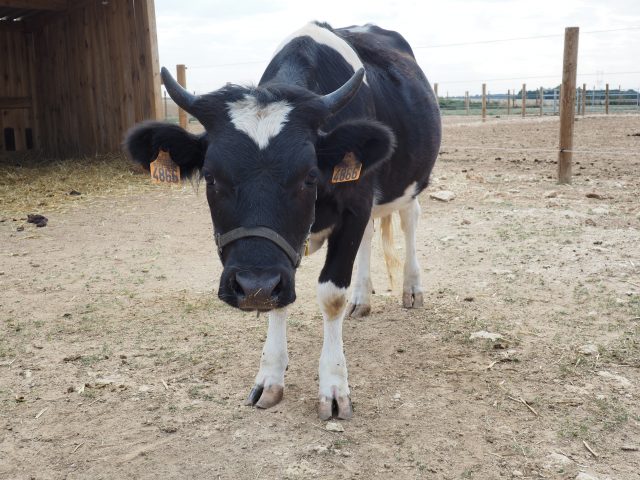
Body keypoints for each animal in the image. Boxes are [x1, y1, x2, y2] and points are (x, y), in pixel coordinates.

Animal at [125, 21, 441, 420]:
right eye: (211, 177)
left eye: (309, 177)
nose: (253, 285)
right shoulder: (289, 250)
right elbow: (282, 300)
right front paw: (270, 378)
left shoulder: (355, 204)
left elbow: (331, 296)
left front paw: (334, 387)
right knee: (370, 236)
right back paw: (361, 297)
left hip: (412, 180)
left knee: (410, 219)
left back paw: (412, 289)